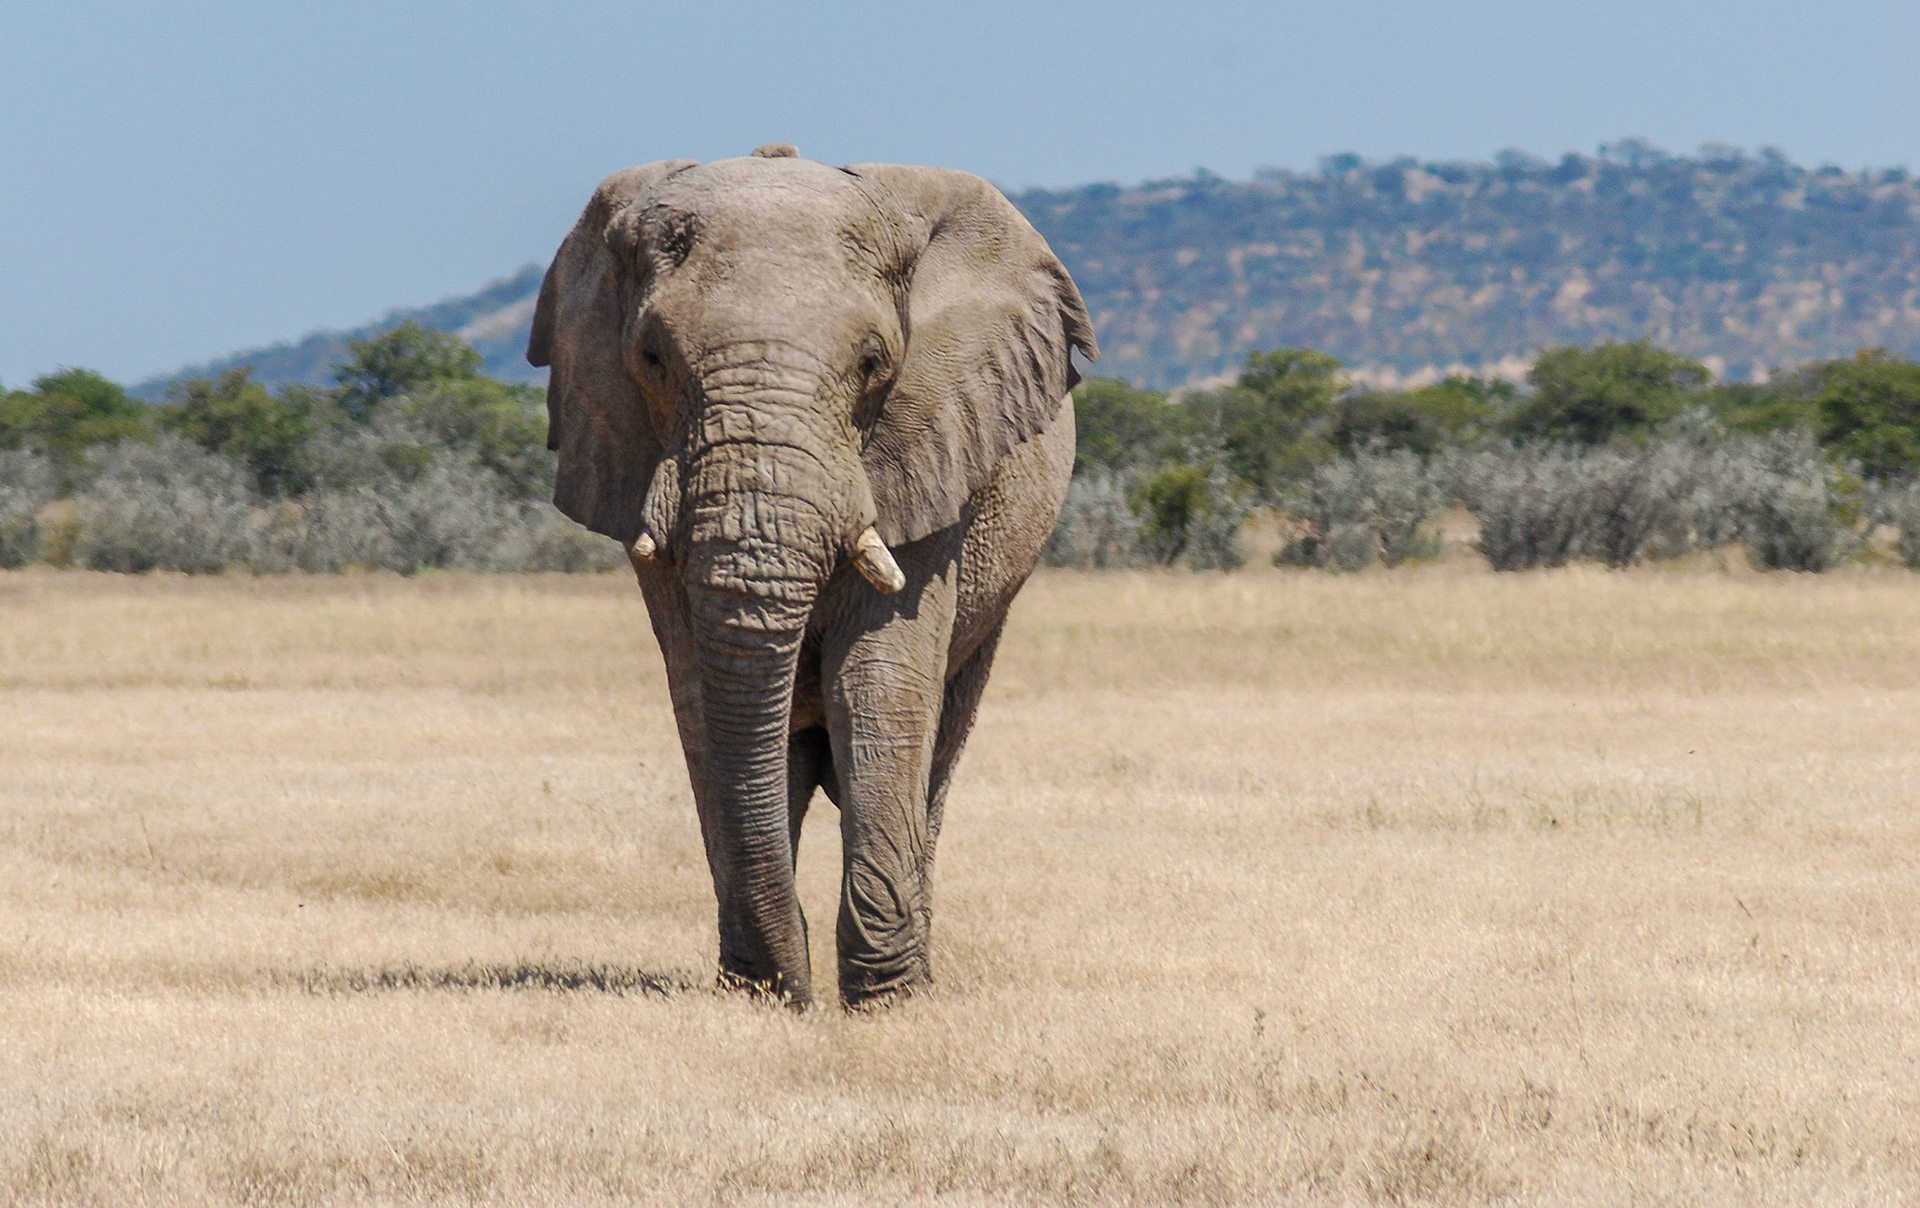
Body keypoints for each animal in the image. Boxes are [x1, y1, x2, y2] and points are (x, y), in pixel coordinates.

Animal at [527, 144, 1097, 1009]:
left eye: (872, 364)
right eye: (651, 359)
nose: (796, 994)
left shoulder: (928, 443)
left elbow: (879, 683)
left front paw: (887, 1002)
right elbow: (700, 696)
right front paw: (760, 988)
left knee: (939, 739)